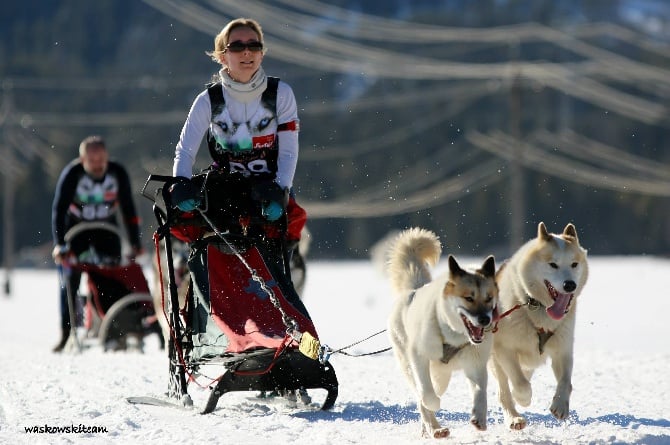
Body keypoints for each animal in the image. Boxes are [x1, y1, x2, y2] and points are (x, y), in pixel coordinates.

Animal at [388, 227, 498, 438]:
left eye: (489, 298)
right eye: (469, 298)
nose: (485, 319)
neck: (452, 335)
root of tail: (414, 290)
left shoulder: (476, 363)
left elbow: (480, 391)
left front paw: (479, 416)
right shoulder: (419, 357)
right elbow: (427, 395)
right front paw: (434, 404)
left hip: (442, 376)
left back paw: (430, 429)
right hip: (409, 363)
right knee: (421, 397)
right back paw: (435, 428)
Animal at [490, 222, 592, 430]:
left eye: (574, 264)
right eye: (553, 264)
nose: (569, 284)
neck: (536, 306)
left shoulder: (563, 349)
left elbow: (566, 381)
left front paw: (560, 404)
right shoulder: (504, 349)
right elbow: (520, 384)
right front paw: (523, 398)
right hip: (498, 360)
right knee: (504, 391)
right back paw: (514, 418)